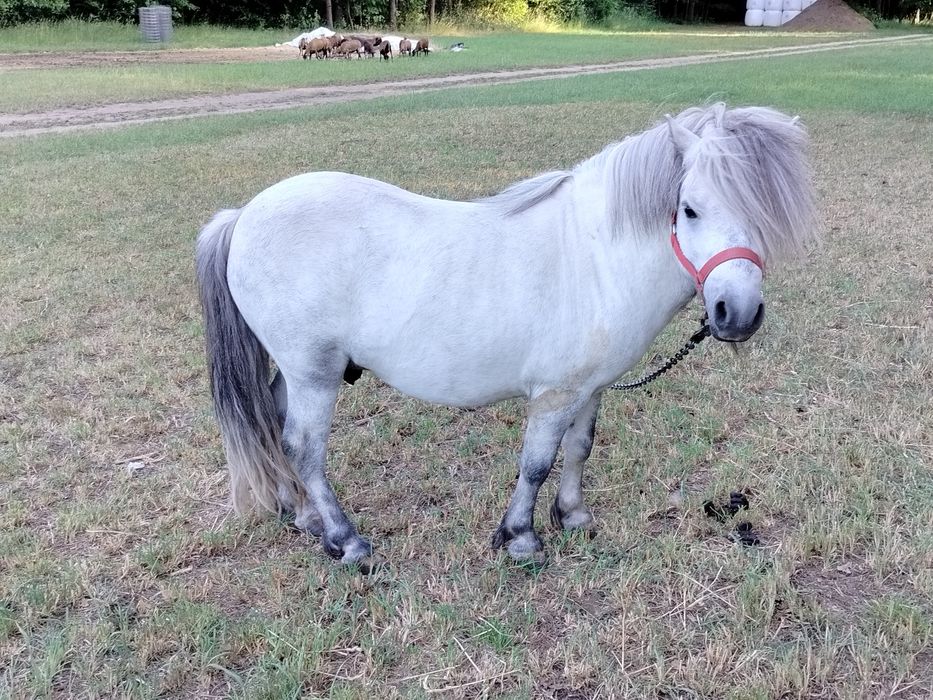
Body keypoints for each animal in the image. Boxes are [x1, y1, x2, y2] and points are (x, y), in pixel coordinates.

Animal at [197, 106, 816, 572]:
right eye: (689, 209)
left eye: (764, 214)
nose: (737, 313)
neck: (595, 257)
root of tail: (244, 214)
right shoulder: (554, 395)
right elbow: (536, 463)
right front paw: (519, 538)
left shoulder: (588, 389)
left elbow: (579, 448)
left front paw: (572, 517)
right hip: (314, 374)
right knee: (304, 445)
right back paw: (345, 540)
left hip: (296, 371)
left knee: (276, 426)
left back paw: (302, 515)